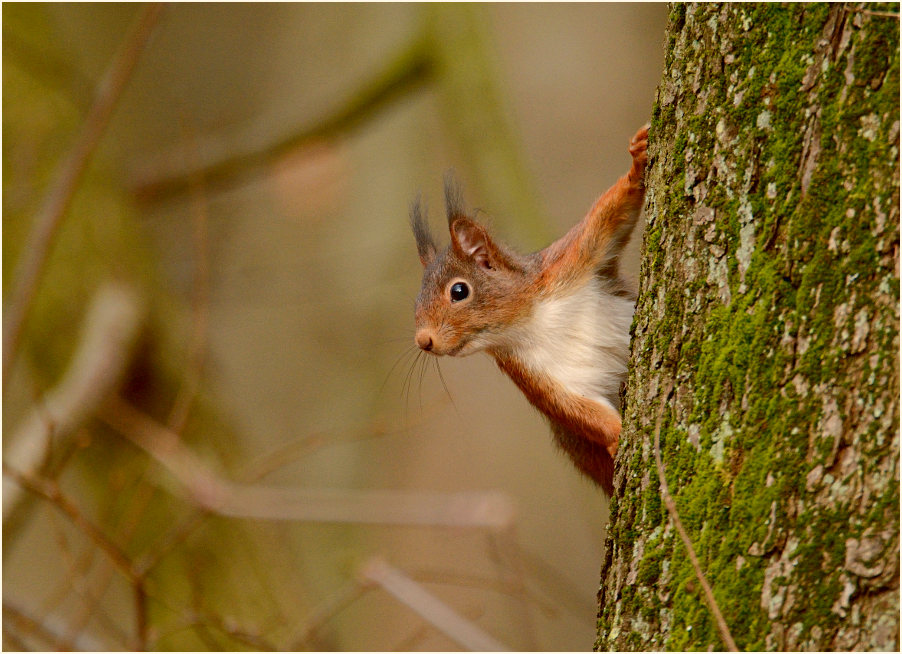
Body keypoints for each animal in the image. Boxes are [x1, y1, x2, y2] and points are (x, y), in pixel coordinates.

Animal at [410, 125, 648, 495]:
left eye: (459, 291)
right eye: (417, 300)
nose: (423, 341)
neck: (532, 320)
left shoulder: (570, 262)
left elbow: (608, 219)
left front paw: (636, 163)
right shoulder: (533, 375)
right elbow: (578, 411)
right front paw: (617, 436)